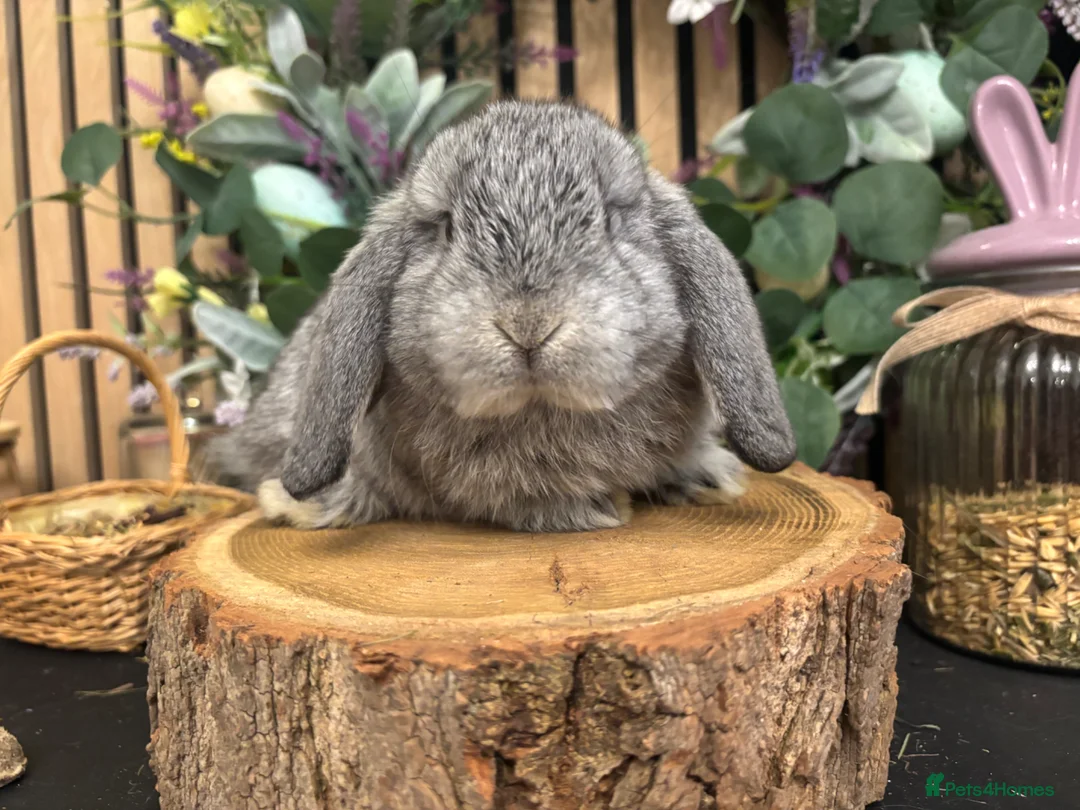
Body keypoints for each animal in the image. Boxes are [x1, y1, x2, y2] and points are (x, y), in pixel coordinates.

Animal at [206, 99, 797, 532]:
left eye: (610, 219)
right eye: (446, 228)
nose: (528, 326)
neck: (541, 412)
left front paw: (709, 477)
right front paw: (598, 510)